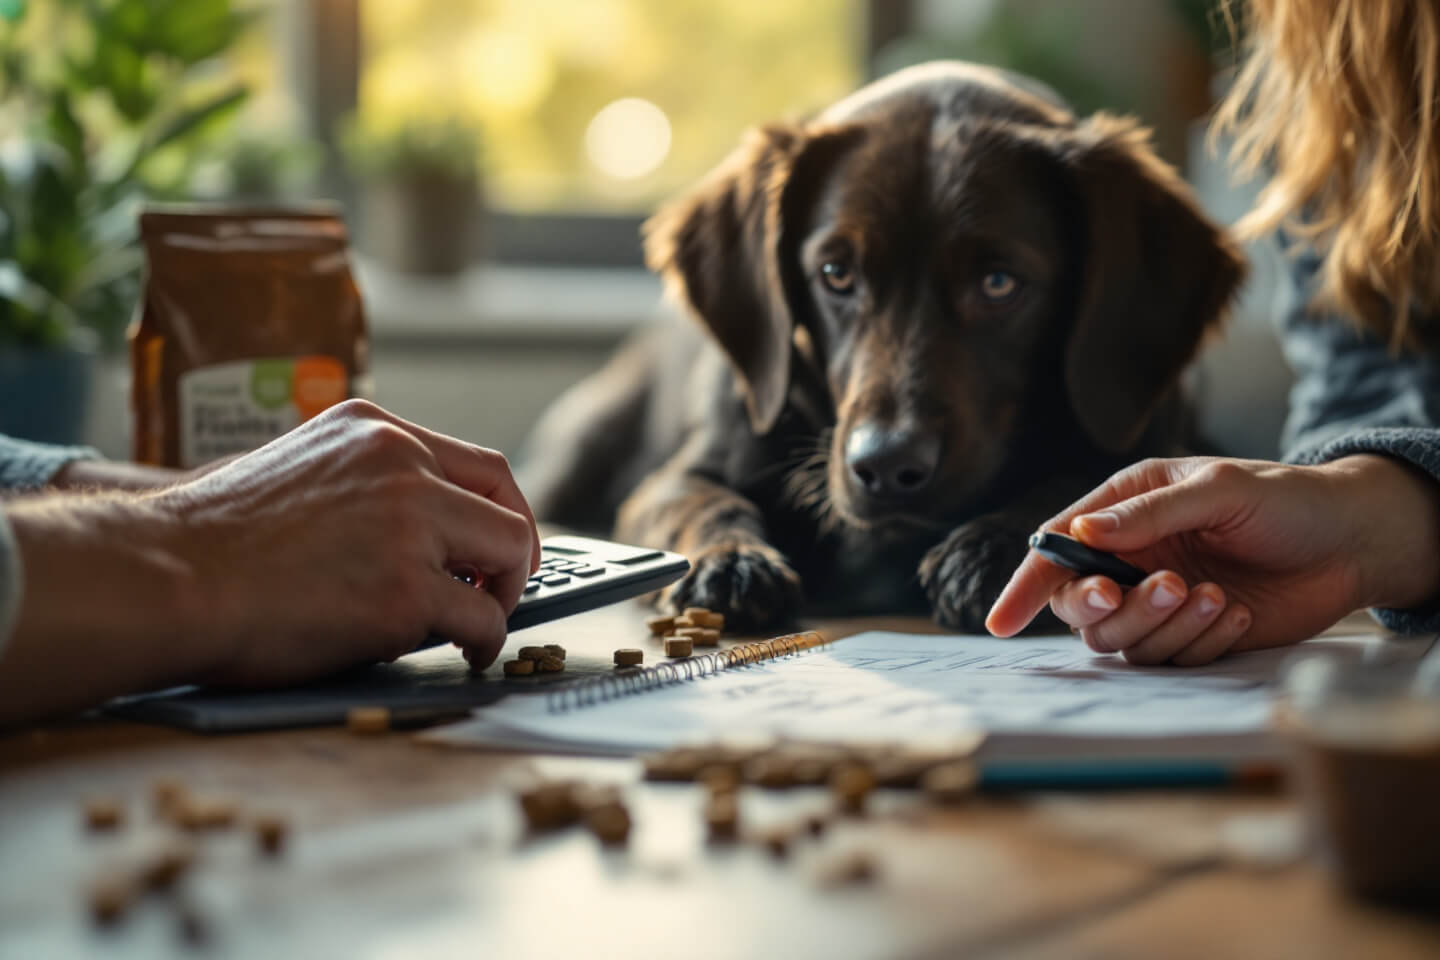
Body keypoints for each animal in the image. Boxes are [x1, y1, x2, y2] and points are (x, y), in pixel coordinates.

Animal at [521, 58, 1249, 630]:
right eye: (836, 273)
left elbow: (1082, 482)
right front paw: (731, 561)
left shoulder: (1153, 440)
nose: (888, 466)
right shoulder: (671, 478)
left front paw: (993, 546)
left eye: (1000, 283)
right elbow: (699, 502)